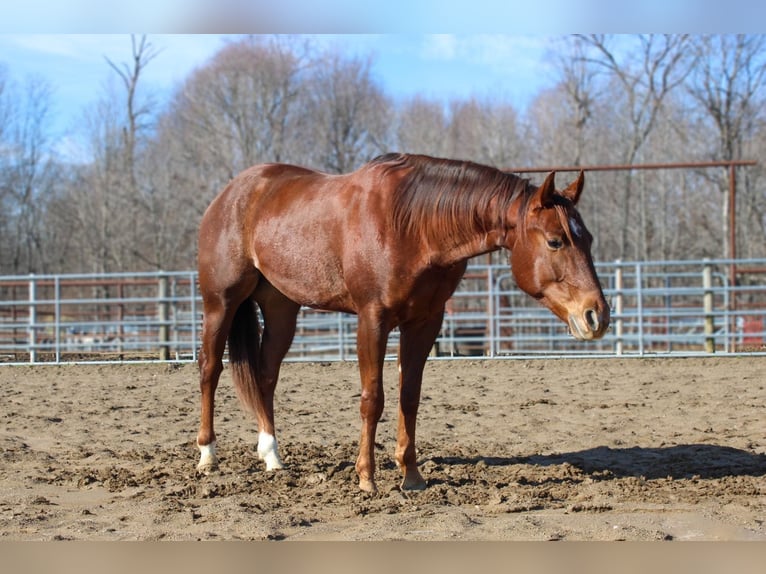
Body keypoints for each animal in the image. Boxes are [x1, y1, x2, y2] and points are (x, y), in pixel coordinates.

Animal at [196, 153, 612, 496]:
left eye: (589, 239)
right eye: (556, 241)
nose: (596, 315)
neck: (413, 225)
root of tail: (230, 194)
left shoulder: (425, 322)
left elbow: (409, 396)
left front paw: (411, 475)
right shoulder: (373, 319)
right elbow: (373, 398)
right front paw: (367, 477)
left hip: (281, 308)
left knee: (266, 376)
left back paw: (272, 455)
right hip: (220, 304)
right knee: (210, 369)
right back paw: (207, 455)